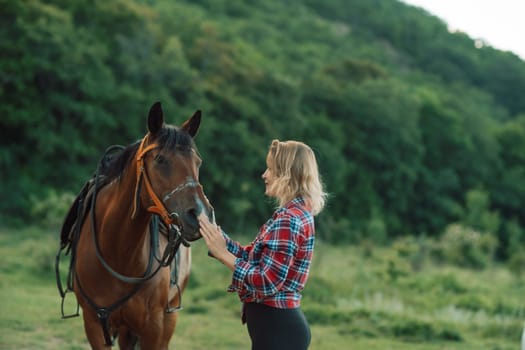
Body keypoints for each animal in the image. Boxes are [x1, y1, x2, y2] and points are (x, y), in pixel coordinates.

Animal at [63, 102, 213, 348]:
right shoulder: (94, 324)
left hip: (168, 318)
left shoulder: (153, 327)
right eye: (160, 160)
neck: (118, 253)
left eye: (197, 162)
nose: (199, 215)